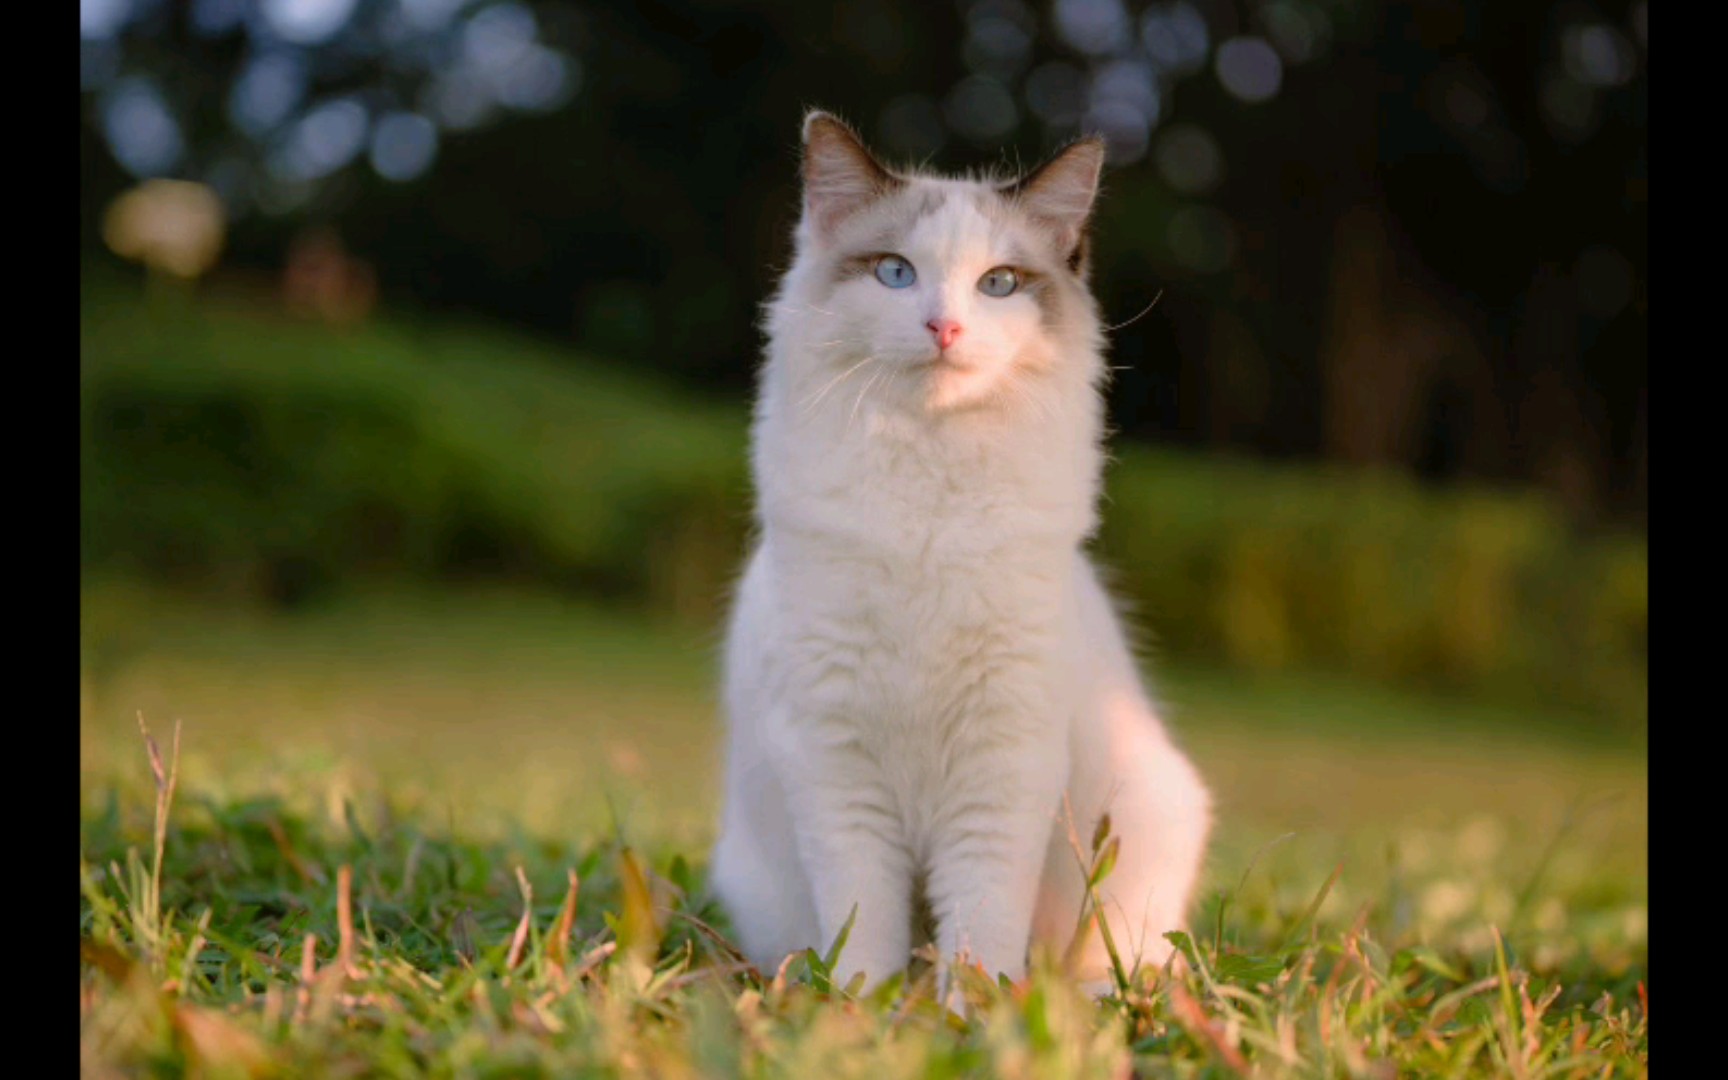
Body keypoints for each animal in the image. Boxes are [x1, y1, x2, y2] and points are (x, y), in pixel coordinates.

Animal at [705, 109, 1216, 995]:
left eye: (999, 285)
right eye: (895, 273)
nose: (943, 328)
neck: (929, 493)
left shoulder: (1001, 764)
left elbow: (979, 926)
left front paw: (967, 1011)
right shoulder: (838, 766)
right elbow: (865, 928)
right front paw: (860, 1011)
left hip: (1150, 817)